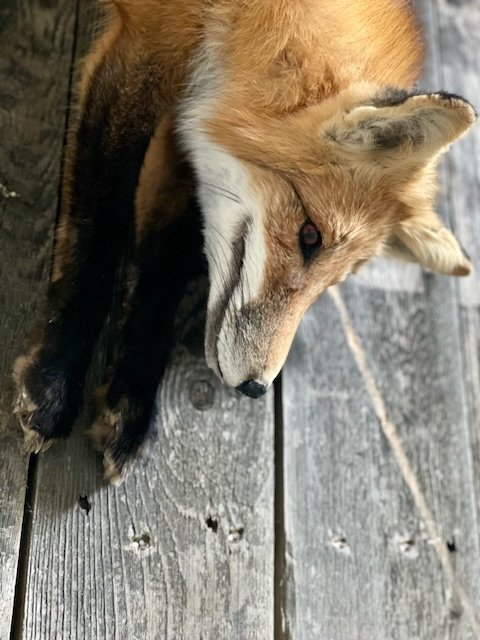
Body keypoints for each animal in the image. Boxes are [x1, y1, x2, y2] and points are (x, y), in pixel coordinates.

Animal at [13, 0, 476, 484]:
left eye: (334, 281)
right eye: (309, 235)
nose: (256, 388)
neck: (244, 16)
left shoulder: (188, 115)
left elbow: (165, 266)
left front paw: (131, 402)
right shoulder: (140, 51)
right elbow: (100, 227)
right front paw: (53, 383)